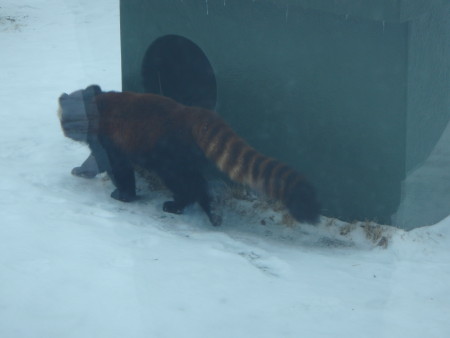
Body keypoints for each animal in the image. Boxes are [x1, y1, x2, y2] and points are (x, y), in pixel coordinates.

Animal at [58, 86, 320, 226]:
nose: (67, 133)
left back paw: (178, 204)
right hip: (185, 152)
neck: (94, 104)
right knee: (196, 180)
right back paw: (211, 209)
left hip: (167, 151)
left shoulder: (107, 140)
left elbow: (114, 166)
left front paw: (122, 193)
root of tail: (189, 113)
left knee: (183, 181)